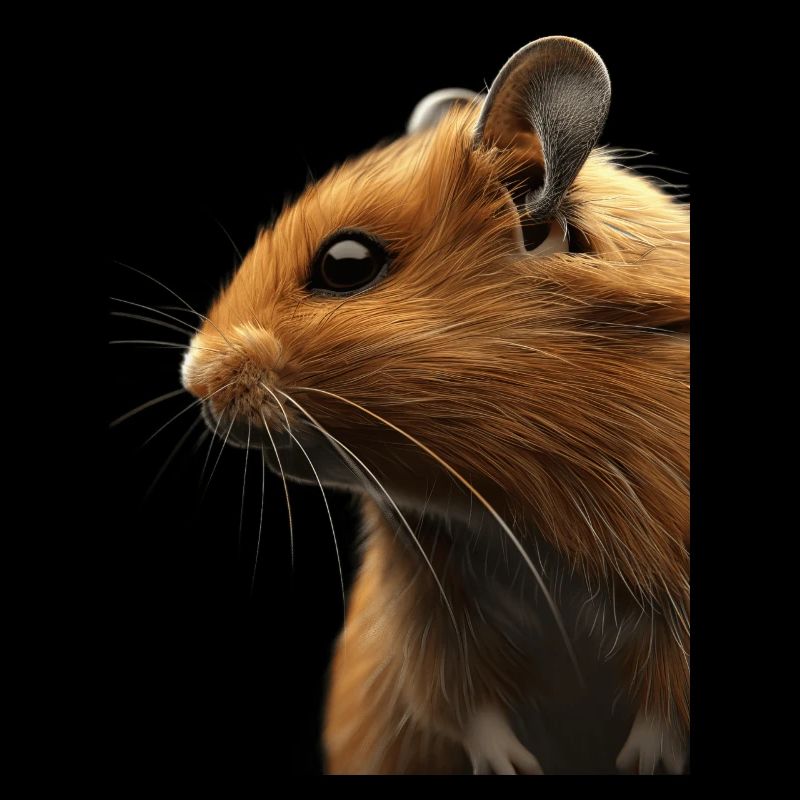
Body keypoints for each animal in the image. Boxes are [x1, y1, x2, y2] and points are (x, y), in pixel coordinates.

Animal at [179, 36, 689, 774]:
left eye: (346, 263)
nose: (193, 380)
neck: (509, 512)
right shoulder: (430, 597)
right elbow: (461, 700)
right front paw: (511, 767)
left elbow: (666, 706)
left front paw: (642, 764)